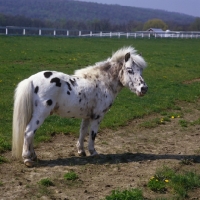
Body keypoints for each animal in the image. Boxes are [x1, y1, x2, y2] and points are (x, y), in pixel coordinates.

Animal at [12, 46, 147, 166]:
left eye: (140, 71)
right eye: (129, 70)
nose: (144, 88)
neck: (103, 82)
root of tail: (31, 80)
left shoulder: (87, 116)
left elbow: (82, 132)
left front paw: (81, 151)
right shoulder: (97, 116)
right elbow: (92, 134)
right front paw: (93, 152)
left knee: (31, 134)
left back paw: (33, 156)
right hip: (40, 114)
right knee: (29, 132)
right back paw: (27, 159)